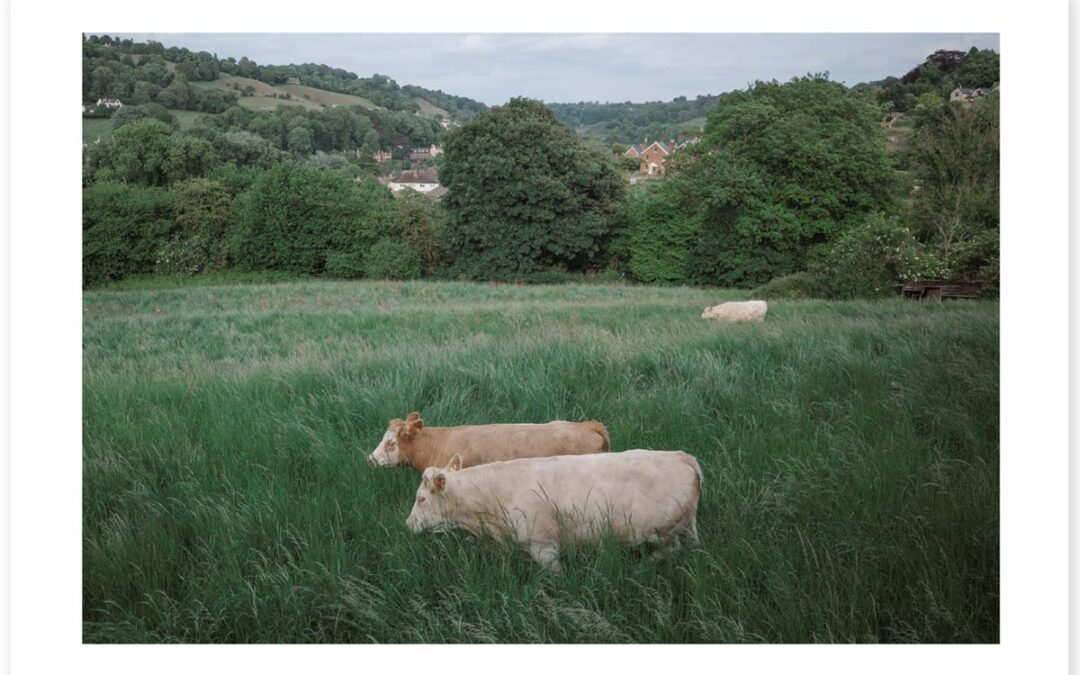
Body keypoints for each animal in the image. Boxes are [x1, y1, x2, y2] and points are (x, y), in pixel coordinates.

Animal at [405, 449, 702, 571]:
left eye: (421, 499)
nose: (407, 525)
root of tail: (682, 456)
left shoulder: (544, 544)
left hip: (662, 530)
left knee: (671, 549)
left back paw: (640, 567)